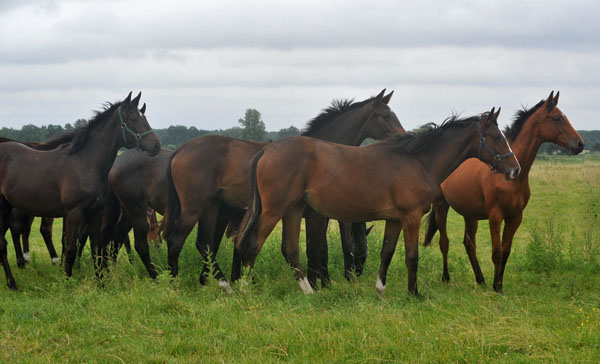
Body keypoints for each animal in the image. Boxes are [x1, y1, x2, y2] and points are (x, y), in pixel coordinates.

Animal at [0, 91, 159, 290]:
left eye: (144, 117)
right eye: (132, 117)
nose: (156, 145)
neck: (84, 163)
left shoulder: (95, 214)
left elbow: (96, 248)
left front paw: (101, 283)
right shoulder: (74, 213)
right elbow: (71, 249)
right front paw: (67, 281)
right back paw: (12, 282)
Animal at [165, 89, 408, 292]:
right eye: (384, 116)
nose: (403, 136)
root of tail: (179, 150)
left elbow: (311, 248)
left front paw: (316, 282)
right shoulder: (317, 216)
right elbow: (319, 249)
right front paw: (323, 284)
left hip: (212, 207)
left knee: (204, 244)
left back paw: (220, 283)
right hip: (195, 208)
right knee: (177, 240)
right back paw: (176, 284)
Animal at [234, 108, 520, 296]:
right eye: (496, 137)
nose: (515, 170)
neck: (417, 161)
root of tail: (267, 149)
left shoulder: (394, 220)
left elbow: (387, 252)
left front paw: (380, 288)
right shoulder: (410, 217)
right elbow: (412, 256)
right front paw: (414, 293)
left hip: (292, 210)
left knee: (290, 248)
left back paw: (308, 290)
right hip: (274, 210)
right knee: (252, 243)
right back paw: (245, 288)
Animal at [424, 91, 584, 292]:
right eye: (556, 118)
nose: (580, 144)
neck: (510, 178)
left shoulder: (515, 217)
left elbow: (506, 251)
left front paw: (498, 284)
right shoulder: (495, 216)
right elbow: (497, 252)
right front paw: (496, 287)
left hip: (470, 214)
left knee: (469, 244)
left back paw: (480, 279)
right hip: (441, 206)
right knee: (444, 242)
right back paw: (446, 278)